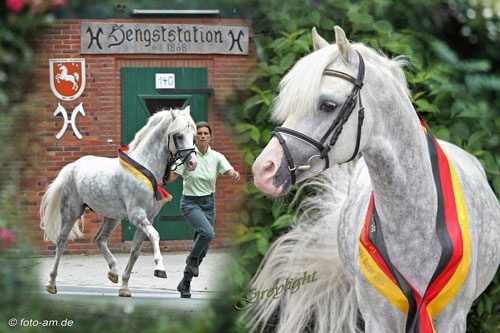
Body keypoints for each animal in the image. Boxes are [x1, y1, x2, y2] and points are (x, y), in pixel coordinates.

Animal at [40, 107, 196, 296]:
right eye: (178, 135)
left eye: (193, 134)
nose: (192, 162)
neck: (146, 167)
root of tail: (72, 166)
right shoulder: (137, 216)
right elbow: (155, 235)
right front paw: (160, 268)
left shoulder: (147, 219)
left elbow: (135, 251)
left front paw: (124, 287)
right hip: (71, 212)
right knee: (61, 242)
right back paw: (51, 283)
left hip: (112, 218)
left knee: (99, 239)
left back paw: (113, 272)